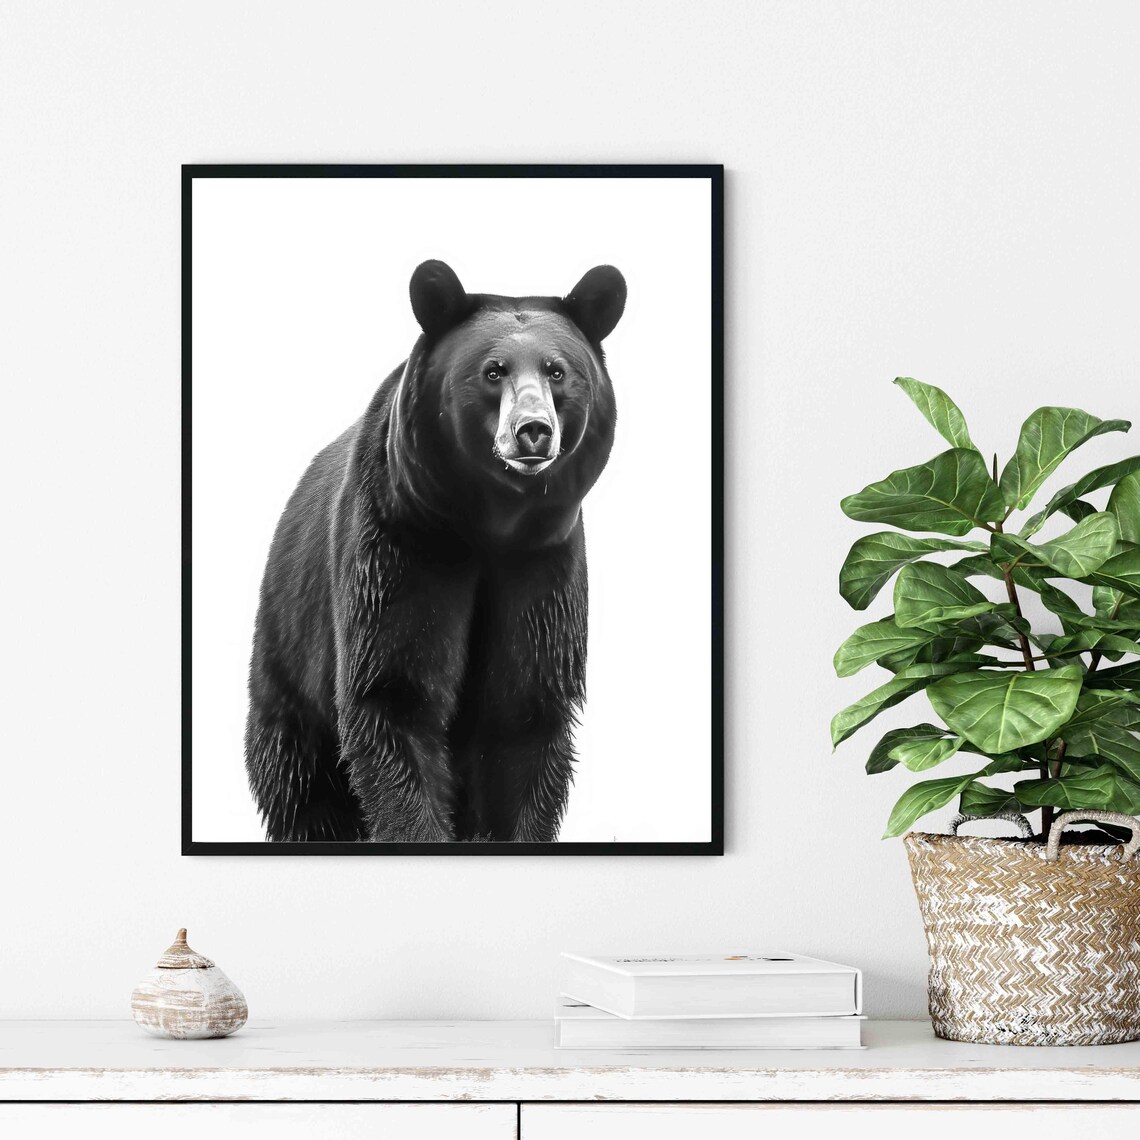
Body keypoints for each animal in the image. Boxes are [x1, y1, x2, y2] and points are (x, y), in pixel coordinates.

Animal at [244, 260, 626, 842]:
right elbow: (395, 692)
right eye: (493, 370)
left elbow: (525, 711)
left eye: (557, 371)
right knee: (300, 782)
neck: (490, 526)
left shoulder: (543, 565)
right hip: (289, 662)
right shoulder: (403, 546)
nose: (533, 431)